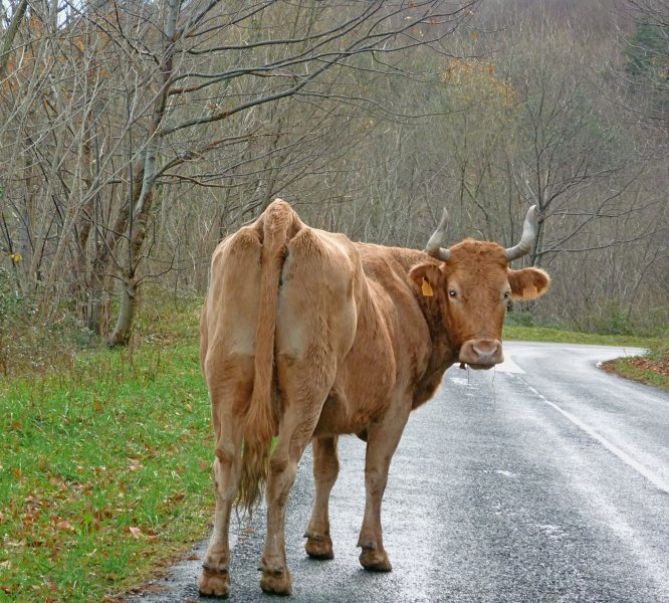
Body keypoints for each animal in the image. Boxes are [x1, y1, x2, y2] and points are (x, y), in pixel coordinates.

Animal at [197, 201, 548, 596]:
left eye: (505, 295)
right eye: (454, 292)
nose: (484, 351)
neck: (405, 294)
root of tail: (281, 217)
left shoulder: (328, 416)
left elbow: (327, 470)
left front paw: (319, 540)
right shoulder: (394, 409)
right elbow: (376, 474)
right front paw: (373, 550)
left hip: (229, 379)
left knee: (227, 463)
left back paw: (214, 572)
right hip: (305, 390)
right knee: (281, 467)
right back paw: (275, 570)